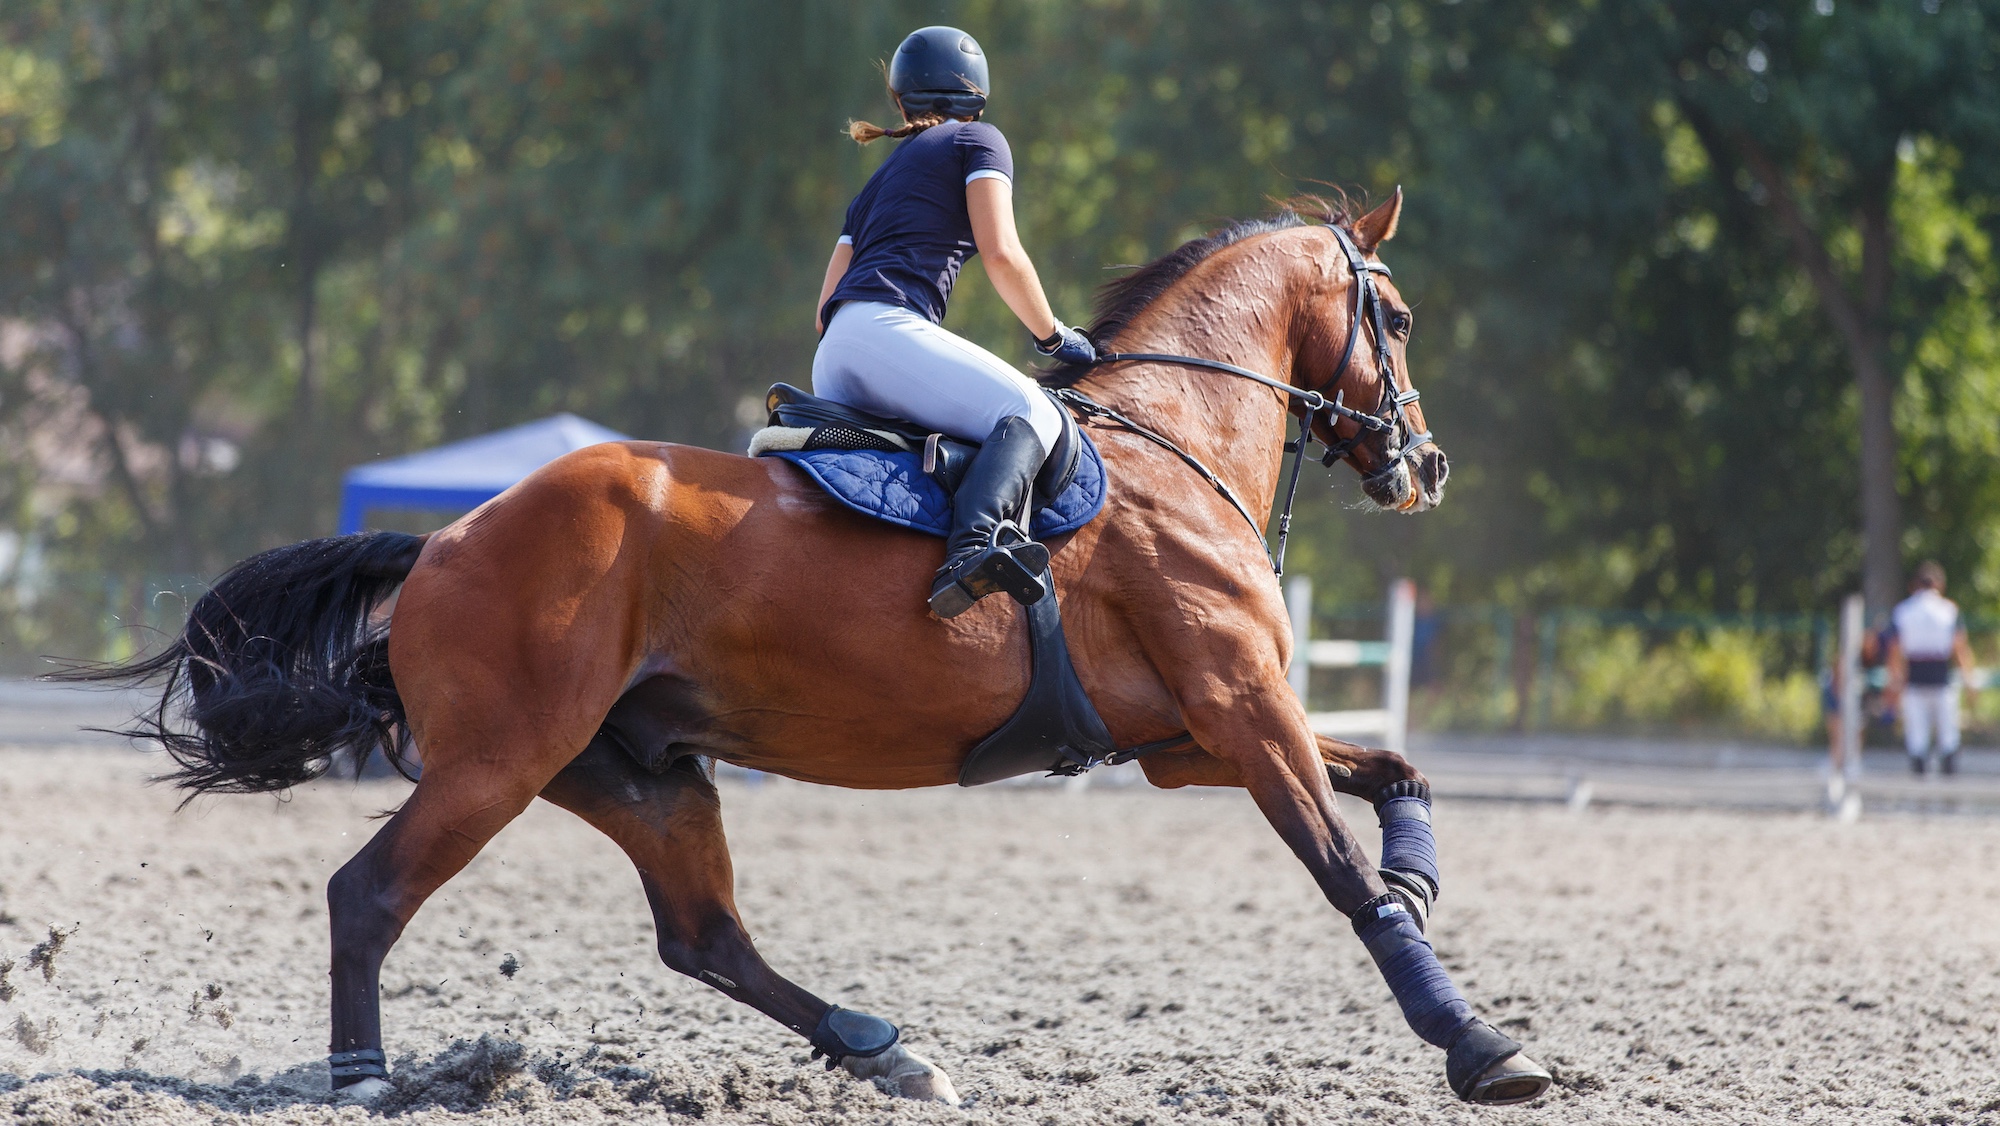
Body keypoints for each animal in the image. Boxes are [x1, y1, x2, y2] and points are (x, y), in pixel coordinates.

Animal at [82, 188, 1551, 1108]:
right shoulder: (1242, 712)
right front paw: (1478, 1043)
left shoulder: (1186, 737)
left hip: (644, 771)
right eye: (1396, 319)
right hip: (498, 764)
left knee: (704, 938)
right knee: (369, 894)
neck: (1170, 441)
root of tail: (448, 540)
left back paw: (881, 1047)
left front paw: (1423, 879)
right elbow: (1340, 875)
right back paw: (366, 1076)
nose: (1424, 464)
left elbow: (1400, 775)